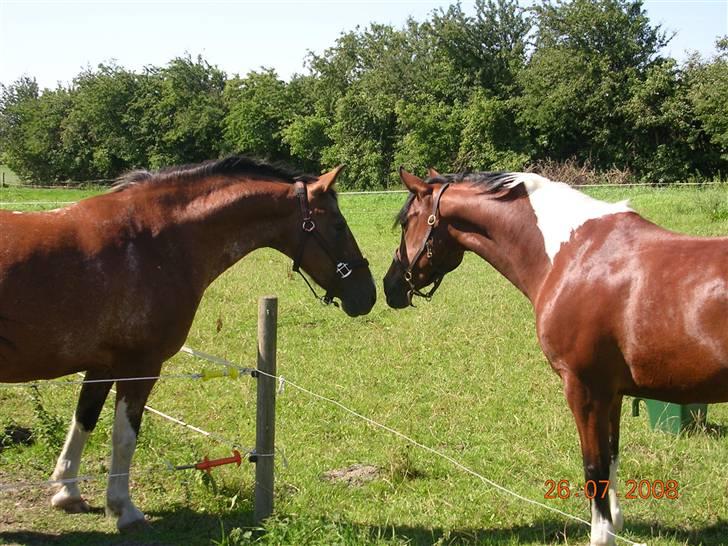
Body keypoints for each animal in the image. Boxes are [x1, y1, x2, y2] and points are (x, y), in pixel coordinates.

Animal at [0, 155, 376, 528]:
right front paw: (123, 508)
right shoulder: (140, 366)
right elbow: (124, 436)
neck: (155, 241)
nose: (368, 294)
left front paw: (67, 493)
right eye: (338, 224)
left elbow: (84, 421)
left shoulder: (102, 366)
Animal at [384, 168, 728, 540]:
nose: (390, 286)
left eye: (407, 222)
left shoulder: (584, 390)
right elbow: (612, 455)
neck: (573, 255)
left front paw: (601, 535)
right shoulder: (612, 393)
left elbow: (595, 468)